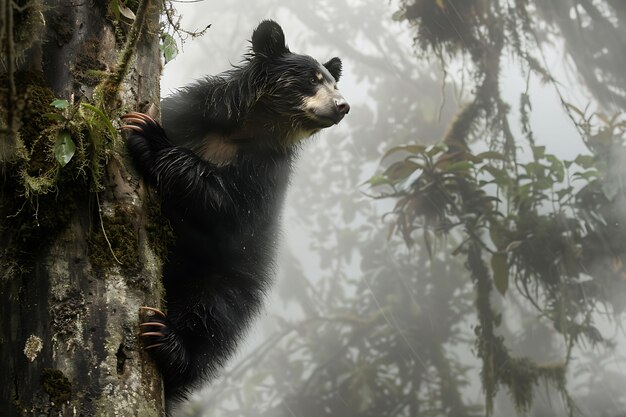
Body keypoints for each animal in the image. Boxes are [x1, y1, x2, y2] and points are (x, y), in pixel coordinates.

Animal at [119, 21, 348, 402]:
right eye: (313, 79)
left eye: (334, 83)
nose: (343, 106)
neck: (248, 129)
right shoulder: (189, 111)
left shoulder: (267, 172)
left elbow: (232, 215)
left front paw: (147, 134)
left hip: (227, 281)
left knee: (212, 320)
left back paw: (168, 342)